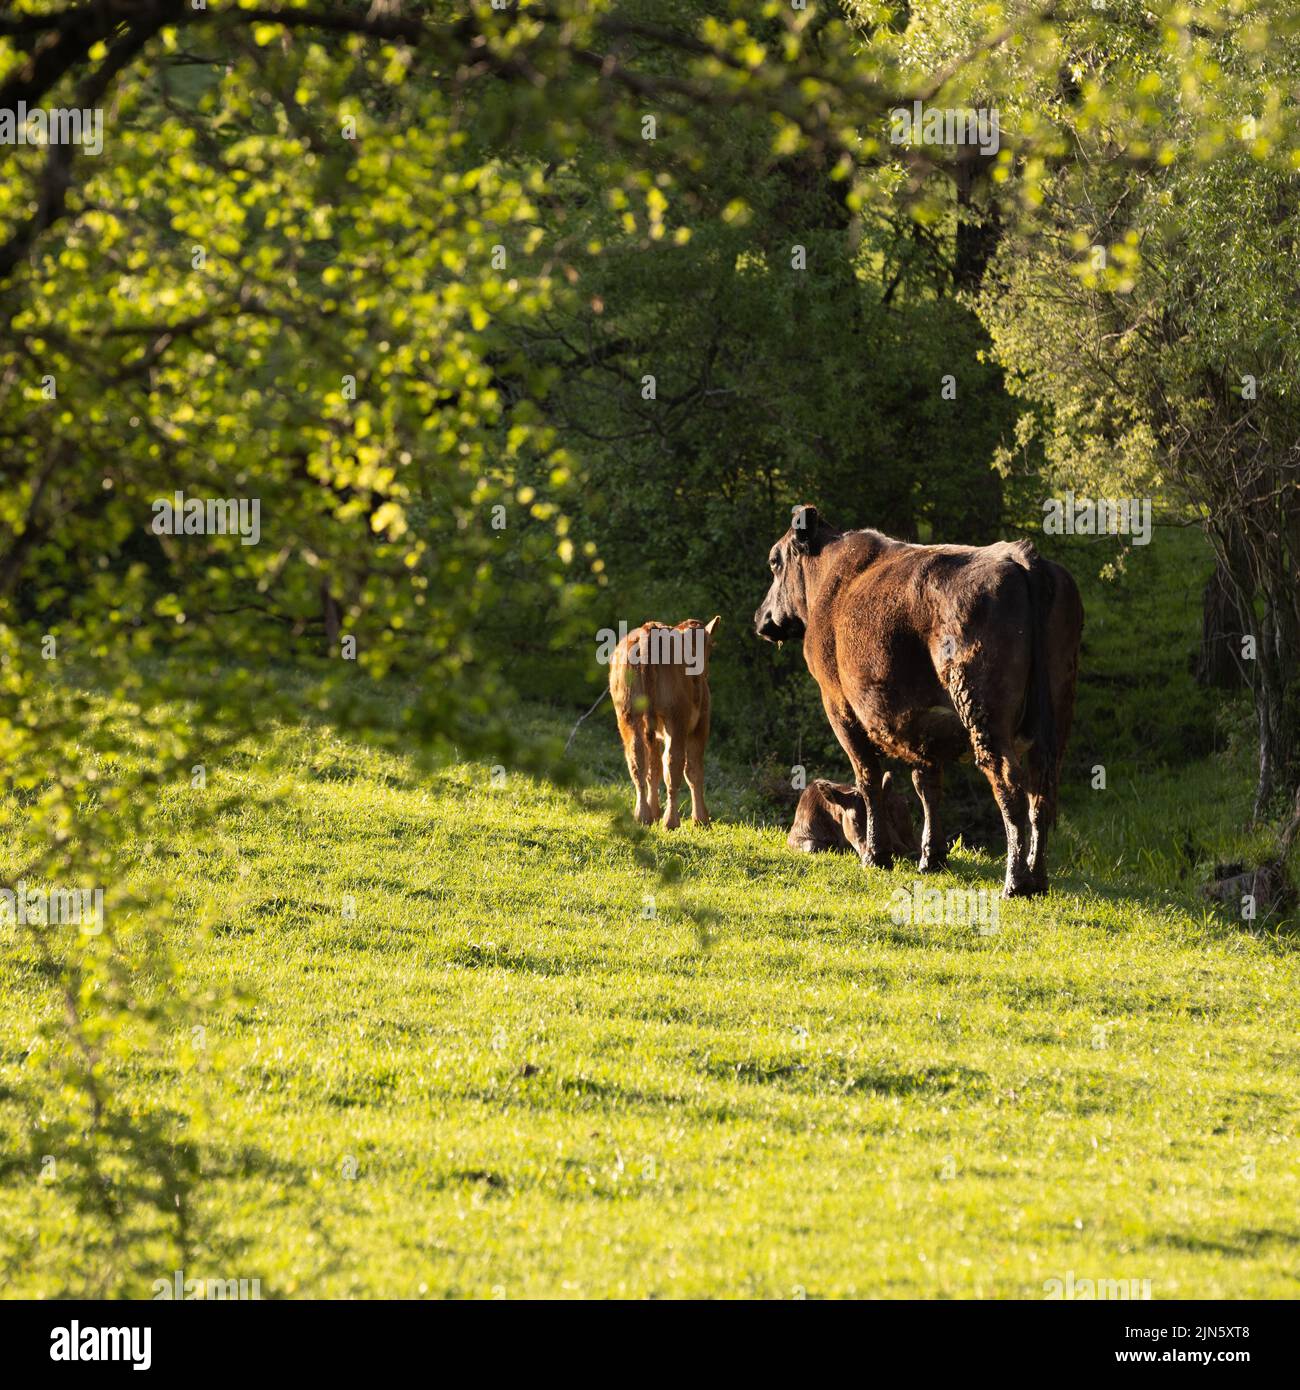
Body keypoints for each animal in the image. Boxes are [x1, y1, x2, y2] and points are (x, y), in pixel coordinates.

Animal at [610, 617, 720, 828]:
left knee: (637, 759)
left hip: (628, 715)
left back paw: (643, 815)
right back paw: (671, 821)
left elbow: (654, 769)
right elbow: (694, 771)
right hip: (675, 719)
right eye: (711, 645)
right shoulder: (701, 725)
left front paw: (655, 812)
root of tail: (648, 629)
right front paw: (701, 819)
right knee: (673, 764)